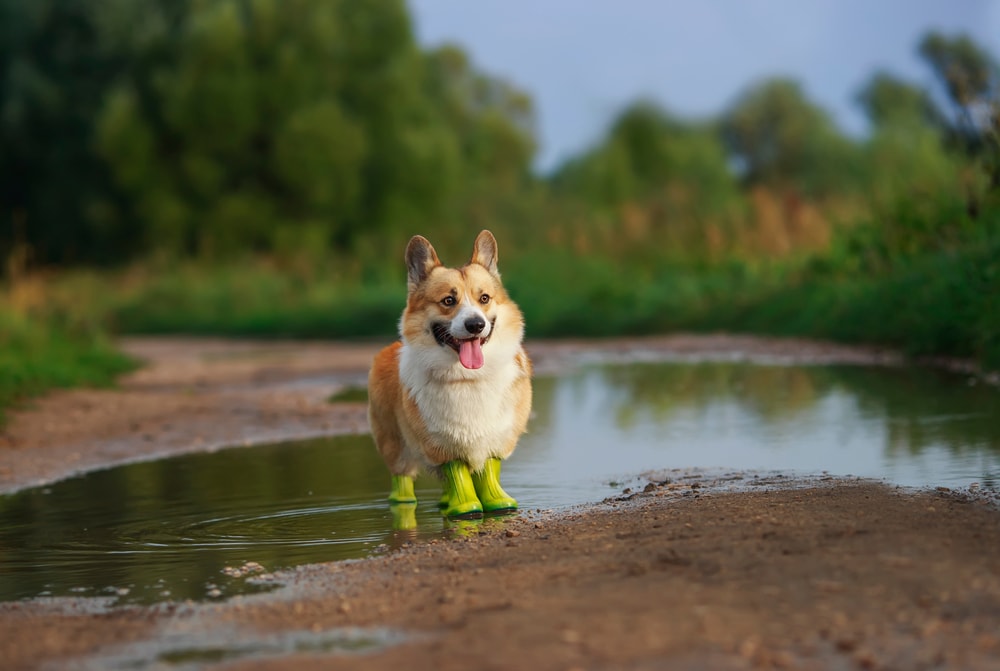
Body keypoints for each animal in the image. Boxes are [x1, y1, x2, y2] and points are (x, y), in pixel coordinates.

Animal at [370, 231, 532, 520]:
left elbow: (488, 471)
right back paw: (405, 501)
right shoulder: (441, 446)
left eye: (484, 298)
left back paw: (446, 502)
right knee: (402, 477)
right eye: (448, 301)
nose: (476, 324)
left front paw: (499, 503)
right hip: (394, 444)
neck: (467, 377)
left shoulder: (497, 439)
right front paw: (465, 508)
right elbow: (457, 473)